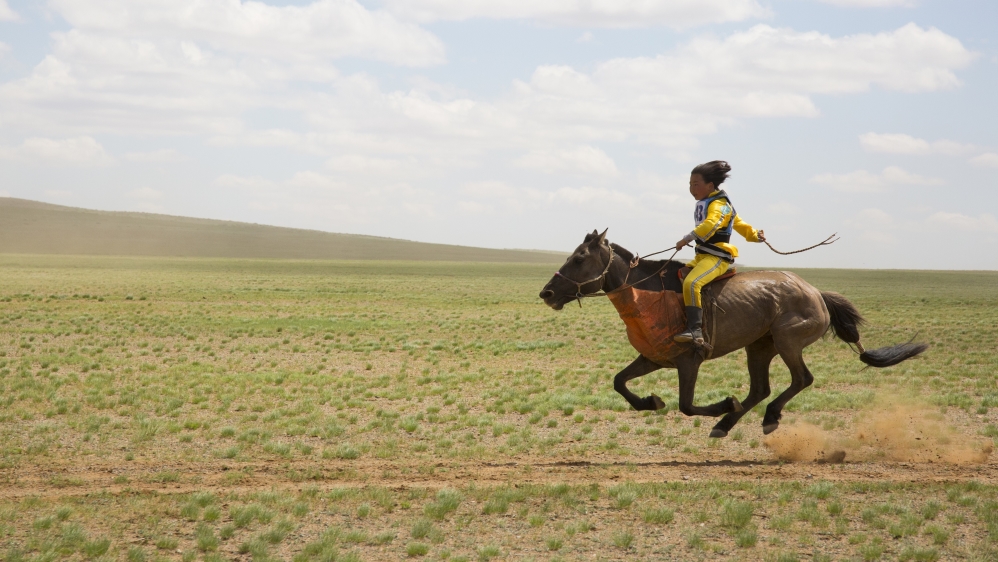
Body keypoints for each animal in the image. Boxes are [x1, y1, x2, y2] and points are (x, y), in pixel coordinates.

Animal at [538, 229, 927, 438]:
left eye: (579, 258)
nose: (547, 293)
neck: (648, 294)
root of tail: (816, 292)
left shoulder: (689, 361)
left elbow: (686, 405)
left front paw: (722, 403)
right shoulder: (653, 357)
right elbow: (619, 382)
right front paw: (650, 402)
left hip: (787, 341)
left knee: (801, 379)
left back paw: (762, 417)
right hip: (759, 346)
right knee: (761, 389)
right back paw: (728, 424)